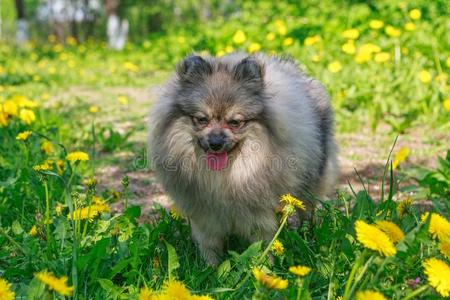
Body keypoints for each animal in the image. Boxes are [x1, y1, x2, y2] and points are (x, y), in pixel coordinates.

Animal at [148, 52, 338, 266]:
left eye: (235, 122)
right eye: (202, 119)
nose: (215, 142)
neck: (224, 177)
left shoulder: (260, 213)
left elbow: (263, 243)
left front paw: (263, 268)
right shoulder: (205, 215)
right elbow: (209, 244)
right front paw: (211, 268)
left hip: (309, 183)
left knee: (307, 209)